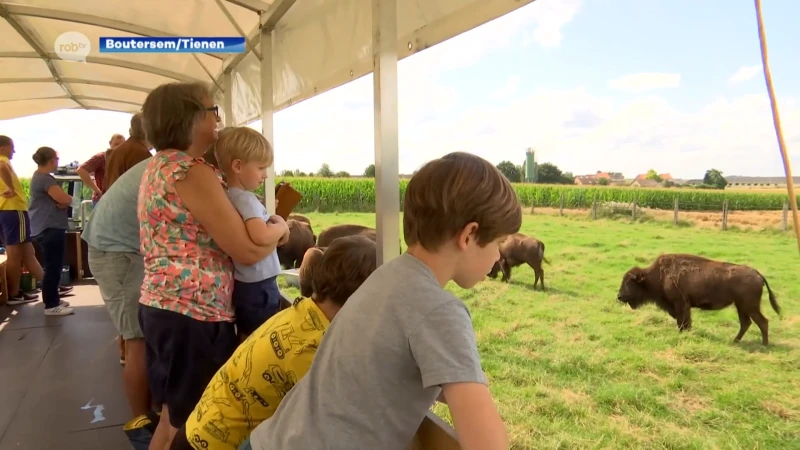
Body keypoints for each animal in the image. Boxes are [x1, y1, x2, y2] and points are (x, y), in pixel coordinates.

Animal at [620, 253, 780, 344]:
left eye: (629, 282)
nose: (619, 296)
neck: (659, 275)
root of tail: (758, 274)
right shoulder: (685, 306)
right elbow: (685, 322)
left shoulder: (680, 304)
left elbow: (682, 322)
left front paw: (681, 334)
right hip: (741, 306)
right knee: (746, 323)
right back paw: (735, 341)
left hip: (750, 306)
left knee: (762, 322)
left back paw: (764, 345)